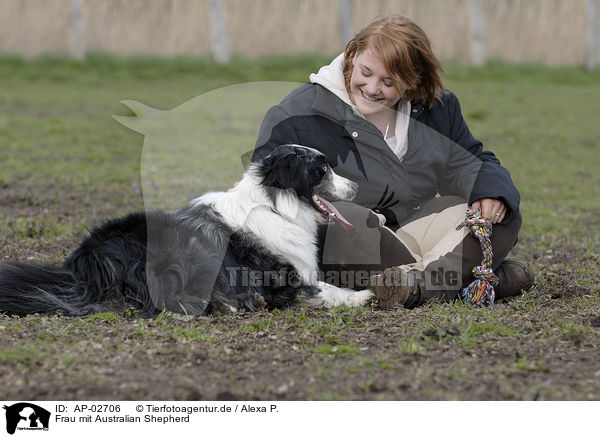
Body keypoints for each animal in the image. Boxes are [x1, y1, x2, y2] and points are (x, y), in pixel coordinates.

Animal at [0, 145, 372, 316]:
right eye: (322, 170)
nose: (357, 187)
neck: (275, 204)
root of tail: (83, 263)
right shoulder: (281, 278)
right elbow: (324, 289)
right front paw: (361, 296)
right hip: (182, 254)